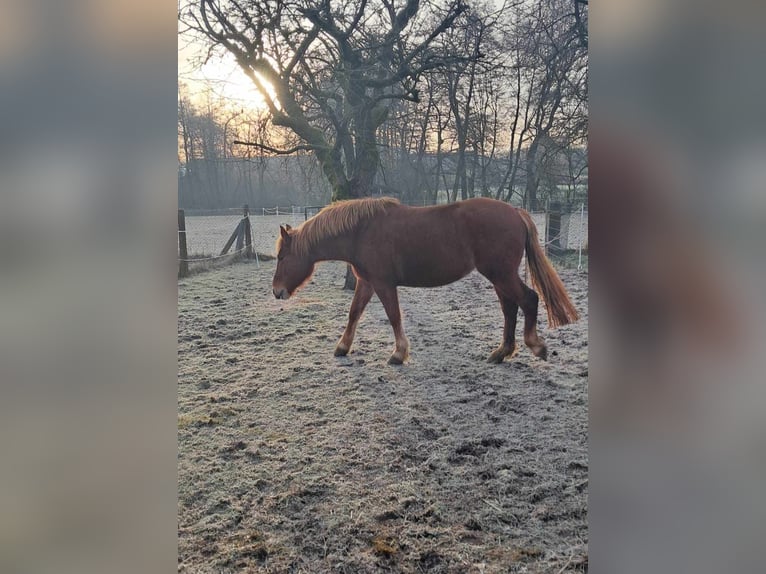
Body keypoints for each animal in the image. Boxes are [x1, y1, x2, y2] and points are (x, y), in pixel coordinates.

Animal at [272, 198, 580, 366]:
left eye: (281, 257)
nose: (276, 292)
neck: (361, 231)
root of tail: (515, 211)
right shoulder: (367, 283)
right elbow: (354, 313)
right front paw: (342, 347)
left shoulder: (384, 284)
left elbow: (394, 316)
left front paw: (399, 354)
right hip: (499, 276)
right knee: (510, 308)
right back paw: (501, 352)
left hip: (501, 274)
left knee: (528, 300)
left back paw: (535, 346)